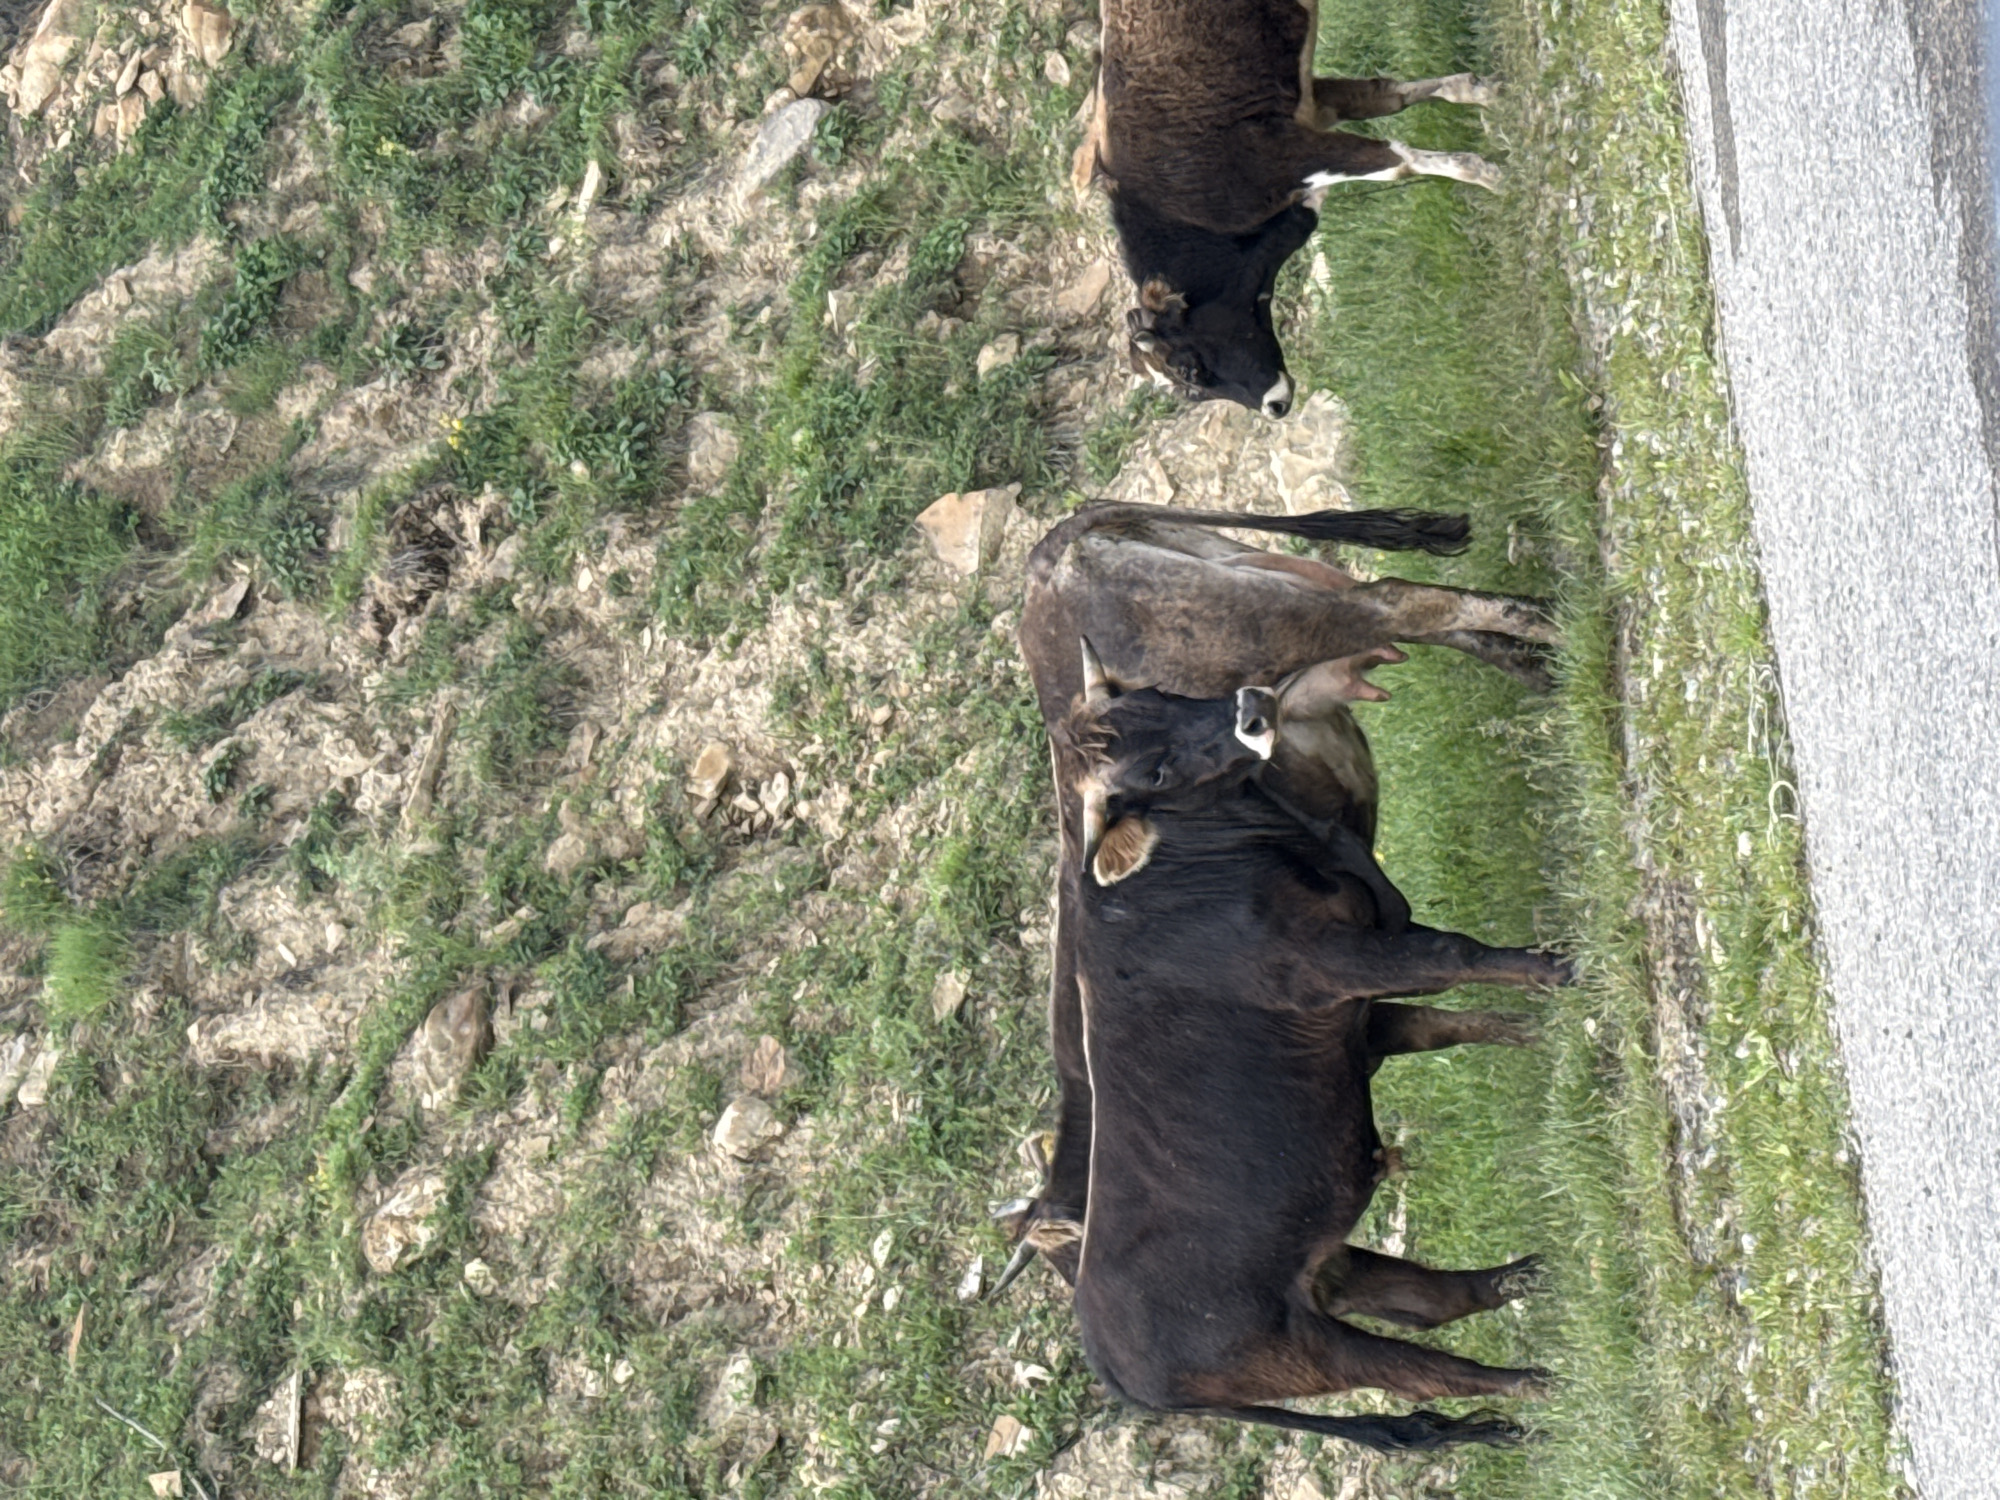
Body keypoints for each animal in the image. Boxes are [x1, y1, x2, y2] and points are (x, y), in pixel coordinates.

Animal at [1085, 0, 1502, 416]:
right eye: (1191, 393)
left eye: (1188, 368)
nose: (1273, 407)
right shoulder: (1311, 108)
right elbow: (1390, 94)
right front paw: (1484, 94)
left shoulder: (1284, 151)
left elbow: (1399, 161)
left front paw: (1489, 175)